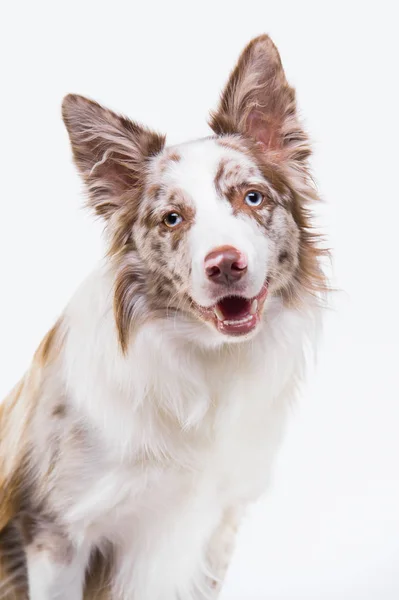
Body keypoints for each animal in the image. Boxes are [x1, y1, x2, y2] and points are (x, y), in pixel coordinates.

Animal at [0, 34, 326, 600]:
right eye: (172, 218)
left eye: (252, 197)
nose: (225, 265)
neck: (204, 367)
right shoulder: (54, 533)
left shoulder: (214, 526)